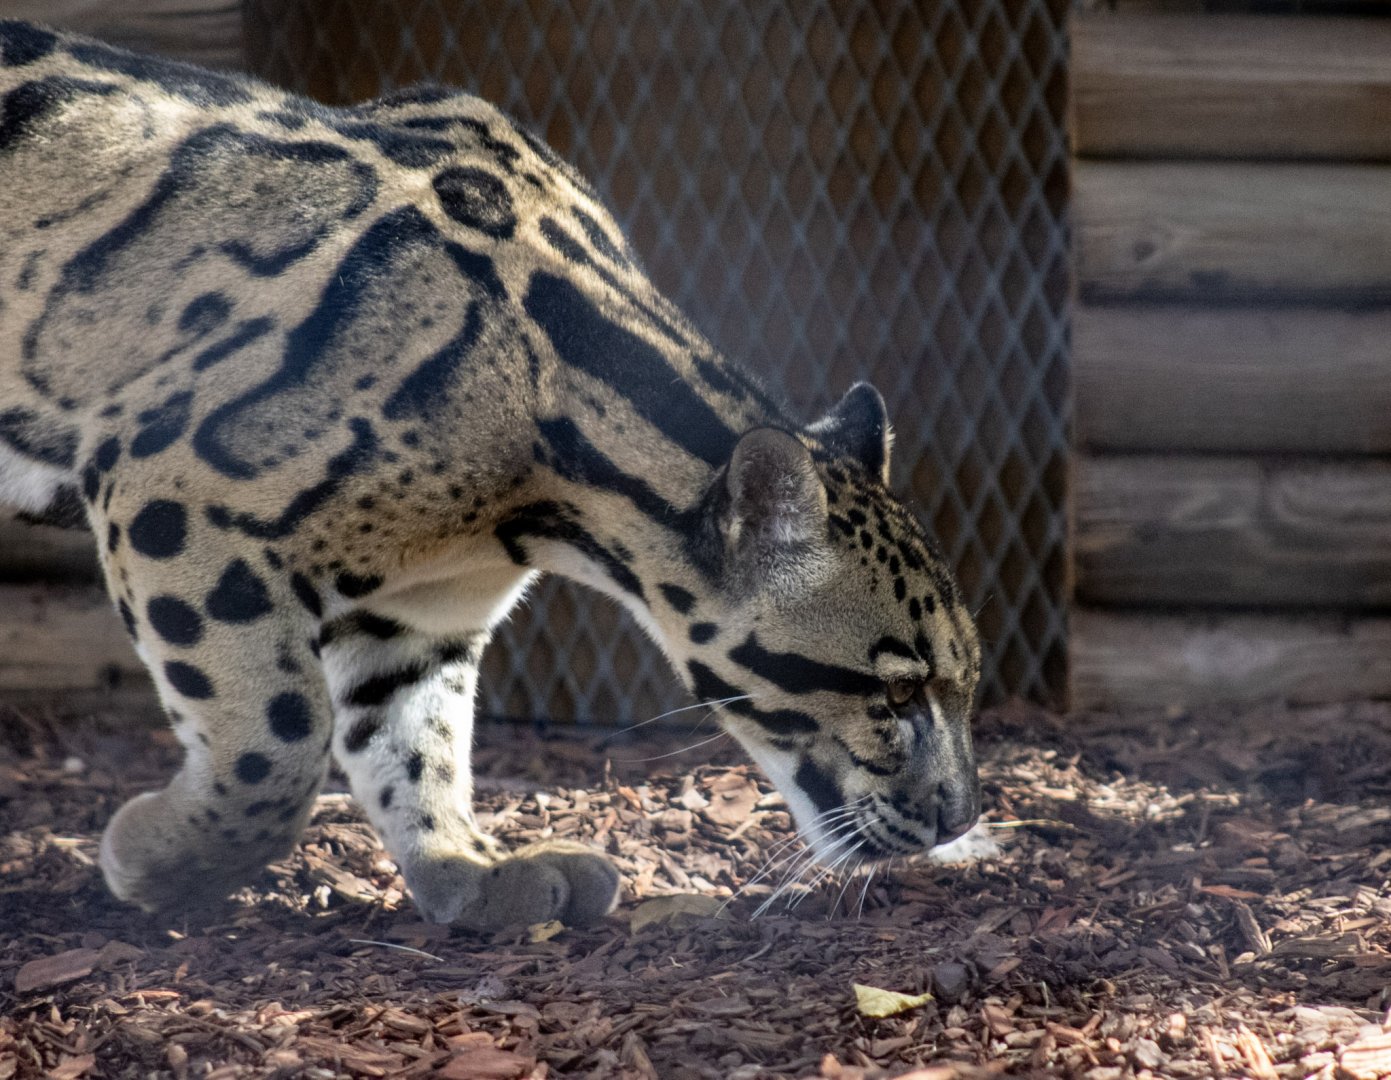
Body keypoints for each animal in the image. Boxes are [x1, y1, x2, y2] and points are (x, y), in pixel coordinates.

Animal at [0, 20, 983, 929]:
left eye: (967, 681)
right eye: (897, 690)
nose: (961, 815)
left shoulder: (418, 609)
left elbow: (414, 739)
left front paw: (467, 868)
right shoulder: (172, 491)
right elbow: (277, 742)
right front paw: (157, 861)